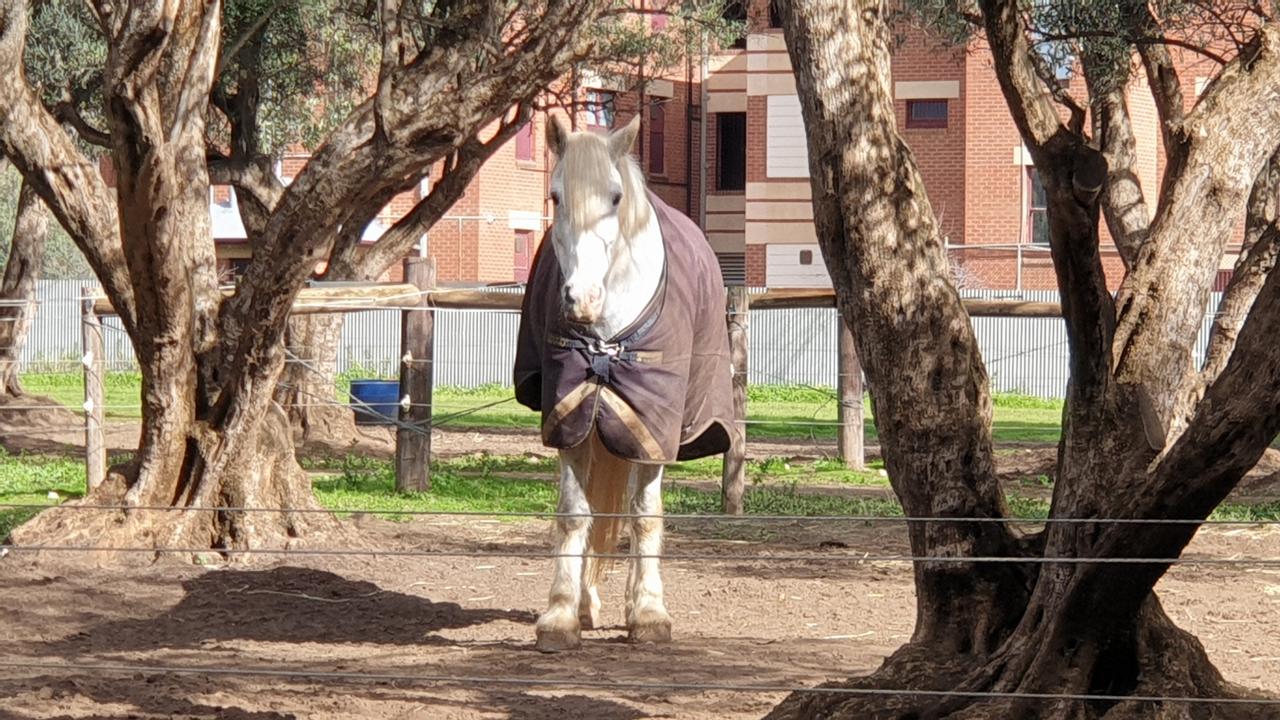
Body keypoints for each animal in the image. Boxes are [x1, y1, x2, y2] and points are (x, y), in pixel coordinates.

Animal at [529, 116, 675, 650]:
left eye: (615, 197)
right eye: (555, 197)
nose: (583, 299)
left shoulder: (652, 428)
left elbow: (646, 516)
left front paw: (649, 613)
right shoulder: (571, 420)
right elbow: (576, 512)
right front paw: (560, 614)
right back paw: (586, 602)